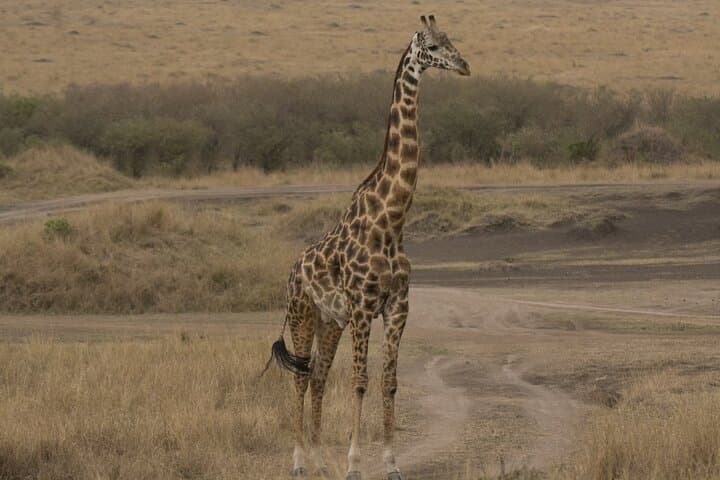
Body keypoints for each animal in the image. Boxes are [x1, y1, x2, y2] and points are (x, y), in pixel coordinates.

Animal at [266, 15, 469, 480]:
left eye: (452, 40)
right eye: (433, 45)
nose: (464, 65)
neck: (391, 220)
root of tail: (292, 270)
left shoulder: (397, 305)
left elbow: (388, 382)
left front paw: (391, 464)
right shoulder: (362, 306)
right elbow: (359, 381)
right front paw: (355, 464)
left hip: (330, 320)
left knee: (319, 376)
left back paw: (321, 461)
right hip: (303, 313)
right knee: (301, 376)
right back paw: (300, 461)